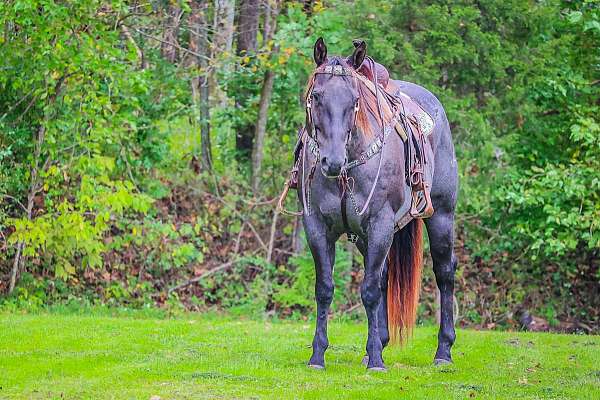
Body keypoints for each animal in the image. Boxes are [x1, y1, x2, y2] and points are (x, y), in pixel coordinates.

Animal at [288, 39, 458, 370]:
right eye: (316, 96)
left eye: (355, 100)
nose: (332, 161)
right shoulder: (317, 227)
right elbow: (325, 289)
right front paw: (318, 354)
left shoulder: (380, 225)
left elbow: (368, 290)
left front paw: (377, 360)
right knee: (382, 277)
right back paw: (380, 341)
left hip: (441, 217)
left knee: (444, 273)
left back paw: (443, 350)